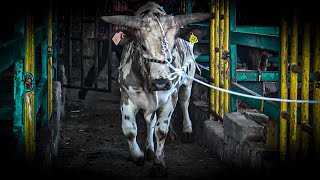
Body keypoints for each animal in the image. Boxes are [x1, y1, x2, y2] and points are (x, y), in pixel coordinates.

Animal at [101, 1, 211, 176]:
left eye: (173, 46)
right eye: (143, 46)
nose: (160, 84)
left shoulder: (170, 97)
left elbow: (161, 131)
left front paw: (159, 163)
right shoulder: (126, 96)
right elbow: (129, 129)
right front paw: (137, 155)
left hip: (188, 81)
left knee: (184, 103)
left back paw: (187, 130)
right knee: (150, 121)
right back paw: (149, 149)